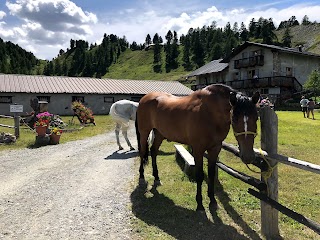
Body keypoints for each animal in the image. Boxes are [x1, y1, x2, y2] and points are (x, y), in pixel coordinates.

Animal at [135, 83, 260, 211]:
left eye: (256, 117)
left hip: (160, 134)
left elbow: (211, 174)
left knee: (153, 151)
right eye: (234, 118)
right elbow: (199, 176)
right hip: (144, 133)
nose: (248, 157)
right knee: (143, 152)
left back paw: (156, 178)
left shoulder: (215, 148)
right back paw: (141, 177)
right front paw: (200, 204)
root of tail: (144, 99)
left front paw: (212, 201)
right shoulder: (198, 149)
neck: (210, 113)